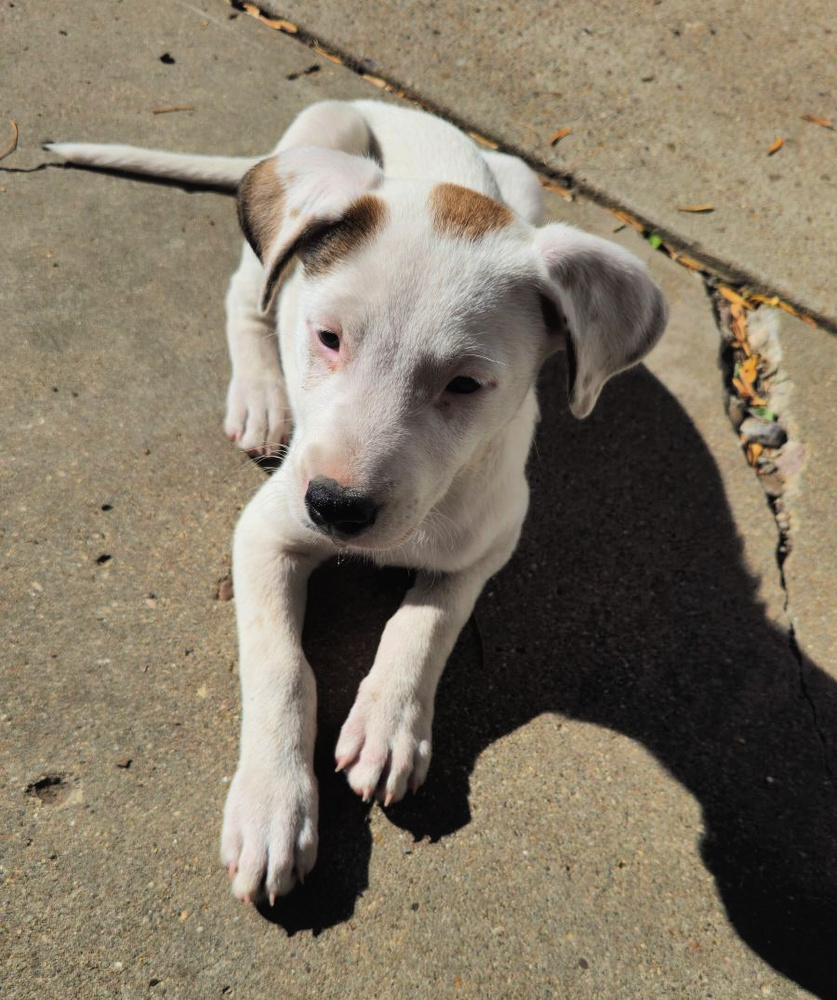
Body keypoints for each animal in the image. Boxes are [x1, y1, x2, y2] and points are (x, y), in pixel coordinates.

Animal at [49, 97, 668, 904]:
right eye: (327, 338)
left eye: (465, 385)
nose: (335, 509)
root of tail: (395, 106)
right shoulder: (266, 531)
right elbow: (281, 666)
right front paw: (273, 804)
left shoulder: (490, 541)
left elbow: (425, 622)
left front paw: (389, 722)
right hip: (326, 131)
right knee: (248, 293)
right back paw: (260, 393)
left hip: (525, 181)